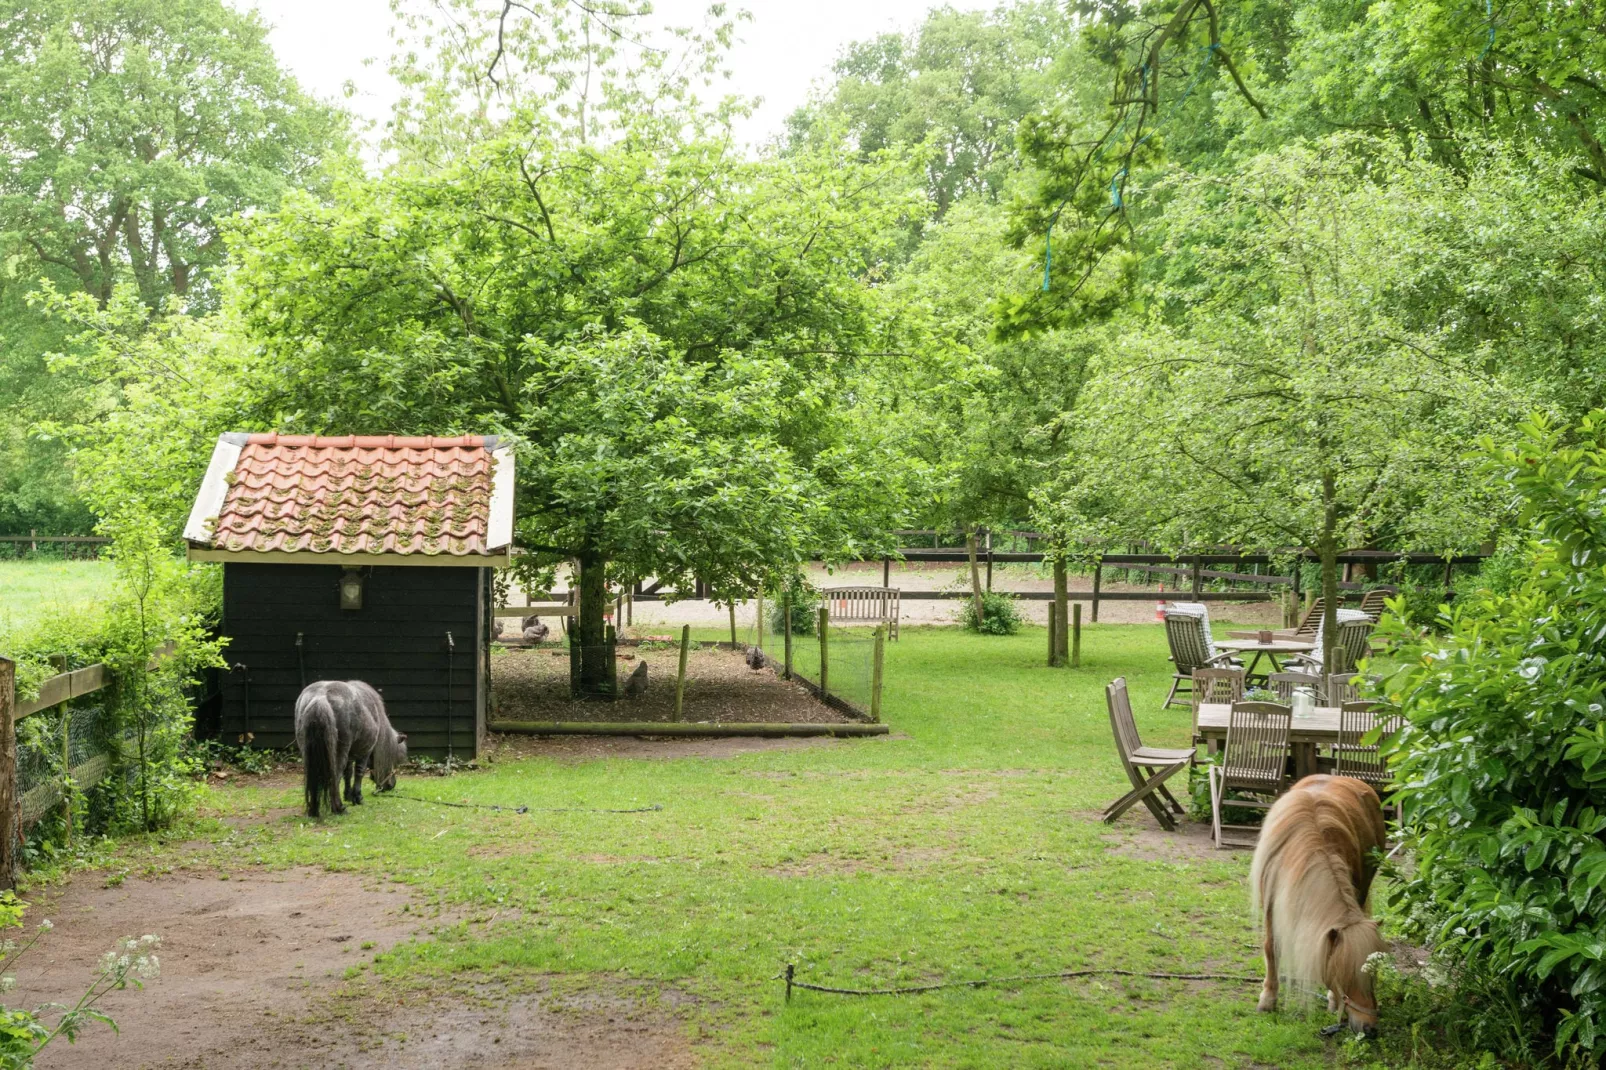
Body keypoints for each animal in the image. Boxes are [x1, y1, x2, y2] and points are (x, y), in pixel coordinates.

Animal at [293, 677, 407, 812]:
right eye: (393, 761)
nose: (391, 785)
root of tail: (320, 697)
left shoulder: (350, 755)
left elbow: (348, 773)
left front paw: (348, 795)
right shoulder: (365, 752)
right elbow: (359, 772)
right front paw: (357, 797)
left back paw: (314, 809)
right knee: (335, 775)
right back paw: (339, 808)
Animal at [1246, 771, 1387, 1028]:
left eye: (1373, 975)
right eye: (1345, 975)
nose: (1369, 1028)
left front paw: (1332, 1000)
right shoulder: (1271, 906)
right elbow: (1272, 948)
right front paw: (1268, 999)